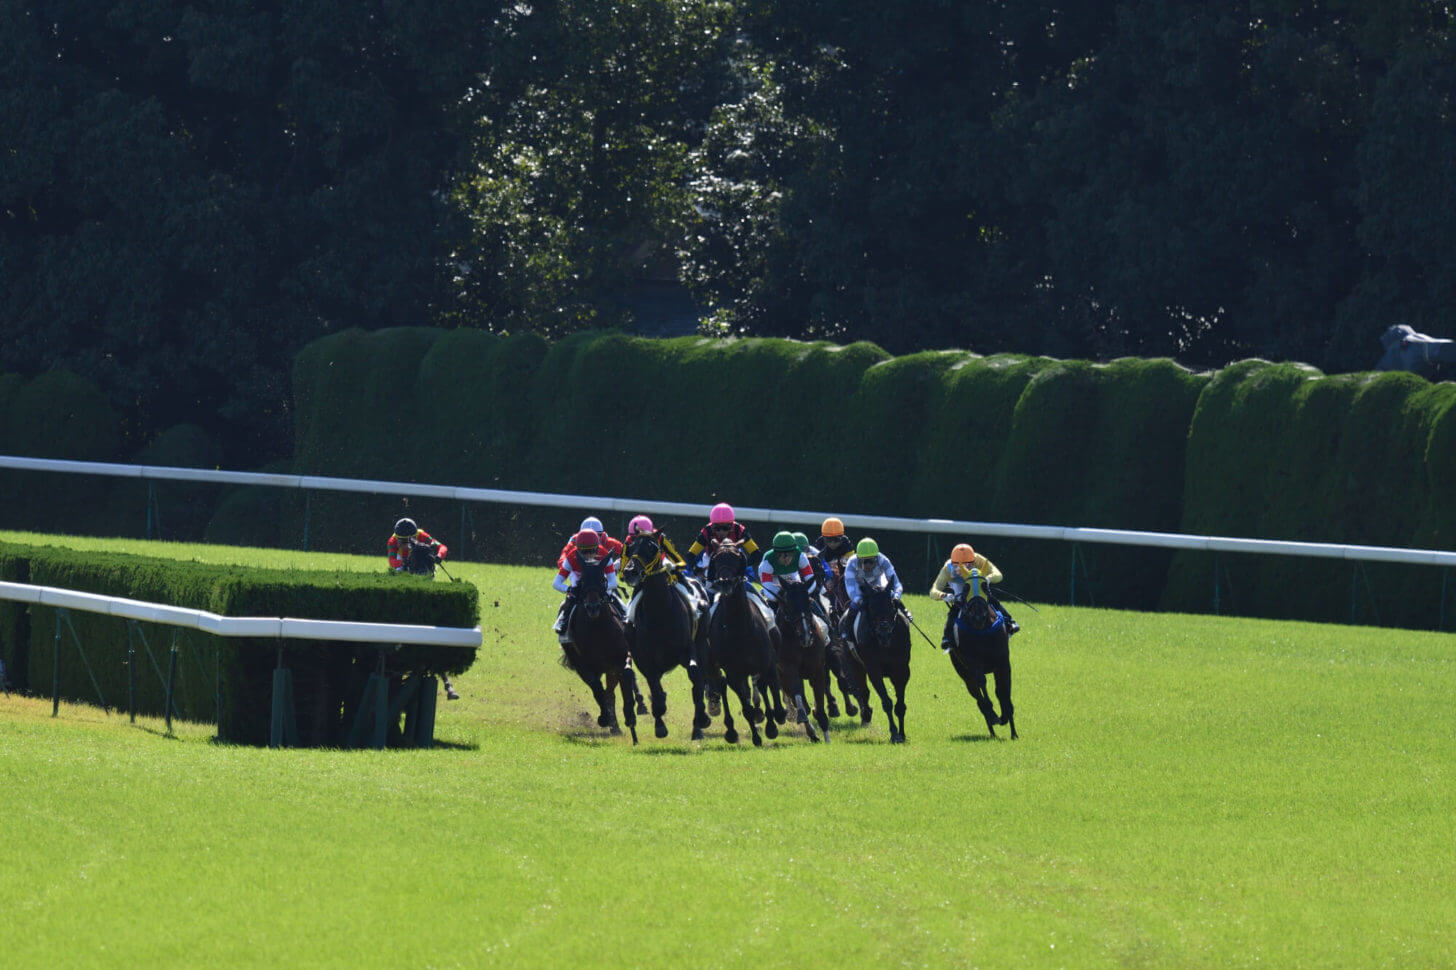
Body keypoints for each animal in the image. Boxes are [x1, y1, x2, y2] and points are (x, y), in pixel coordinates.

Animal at [564, 550, 640, 739]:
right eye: (583, 580)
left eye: (602, 579)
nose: (592, 607)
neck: (599, 630)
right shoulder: (586, 666)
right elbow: (598, 690)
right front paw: (605, 718)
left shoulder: (621, 659)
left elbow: (626, 680)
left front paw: (630, 714)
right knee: (601, 692)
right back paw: (611, 721)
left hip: (611, 669)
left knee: (611, 692)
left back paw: (617, 725)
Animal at [620, 533, 710, 736]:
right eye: (630, 548)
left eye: (652, 548)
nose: (630, 571)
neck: (659, 612)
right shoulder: (645, 660)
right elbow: (655, 688)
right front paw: (660, 724)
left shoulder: (687, 650)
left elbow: (696, 676)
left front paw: (702, 719)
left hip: (701, 643)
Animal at [704, 538, 786, 742]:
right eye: (716, 559)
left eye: (736, 558)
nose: (725, 582)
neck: (739, 629)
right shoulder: (734, 672)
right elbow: (746, 705)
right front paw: (757, 735)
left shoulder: (768, 663)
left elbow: (768, 687)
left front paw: (774, 719)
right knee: (722, 684)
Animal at [949, 576, 1019, 736]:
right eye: (966, 588)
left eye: (984, 587)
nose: (978, 617)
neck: (982, 633)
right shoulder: (972, 662)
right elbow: (982, 683)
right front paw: (995, 716)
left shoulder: (1002, 662)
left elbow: (1003, 690)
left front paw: (1013, 730)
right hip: (962, 670)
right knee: (976, 694)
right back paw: (991, 723)